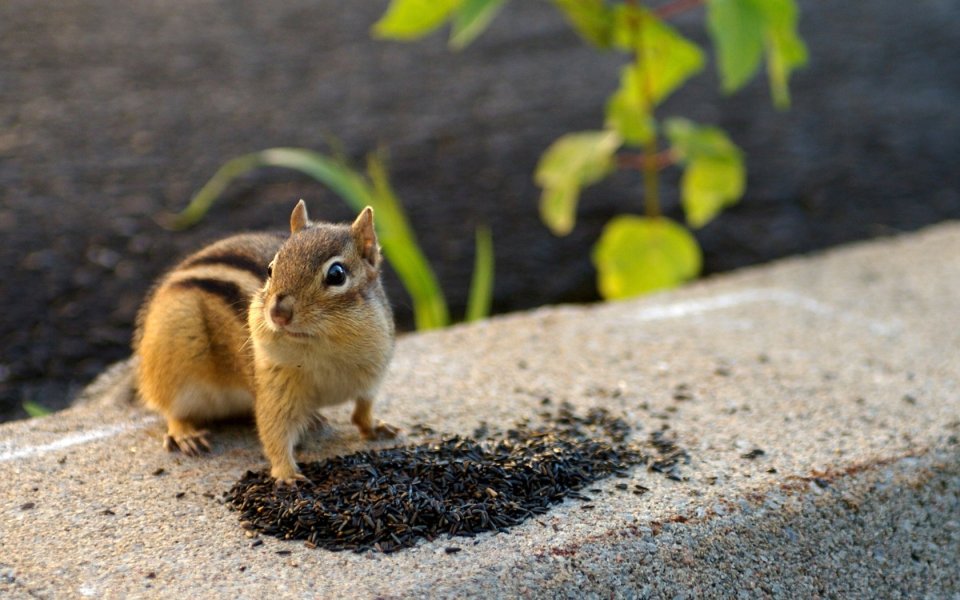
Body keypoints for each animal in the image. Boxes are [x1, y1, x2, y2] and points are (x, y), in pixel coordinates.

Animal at [134, 200, 397, 485]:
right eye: (270, 269)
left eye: (337, 275)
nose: (278, 313)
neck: (325, 350)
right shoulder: (273, 385)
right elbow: (274, 432)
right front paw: (287, 474)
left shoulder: (371, 377)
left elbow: (363, 410)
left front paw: (375, 427)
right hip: (173, 358)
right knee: (171, 408)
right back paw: (185, 434)